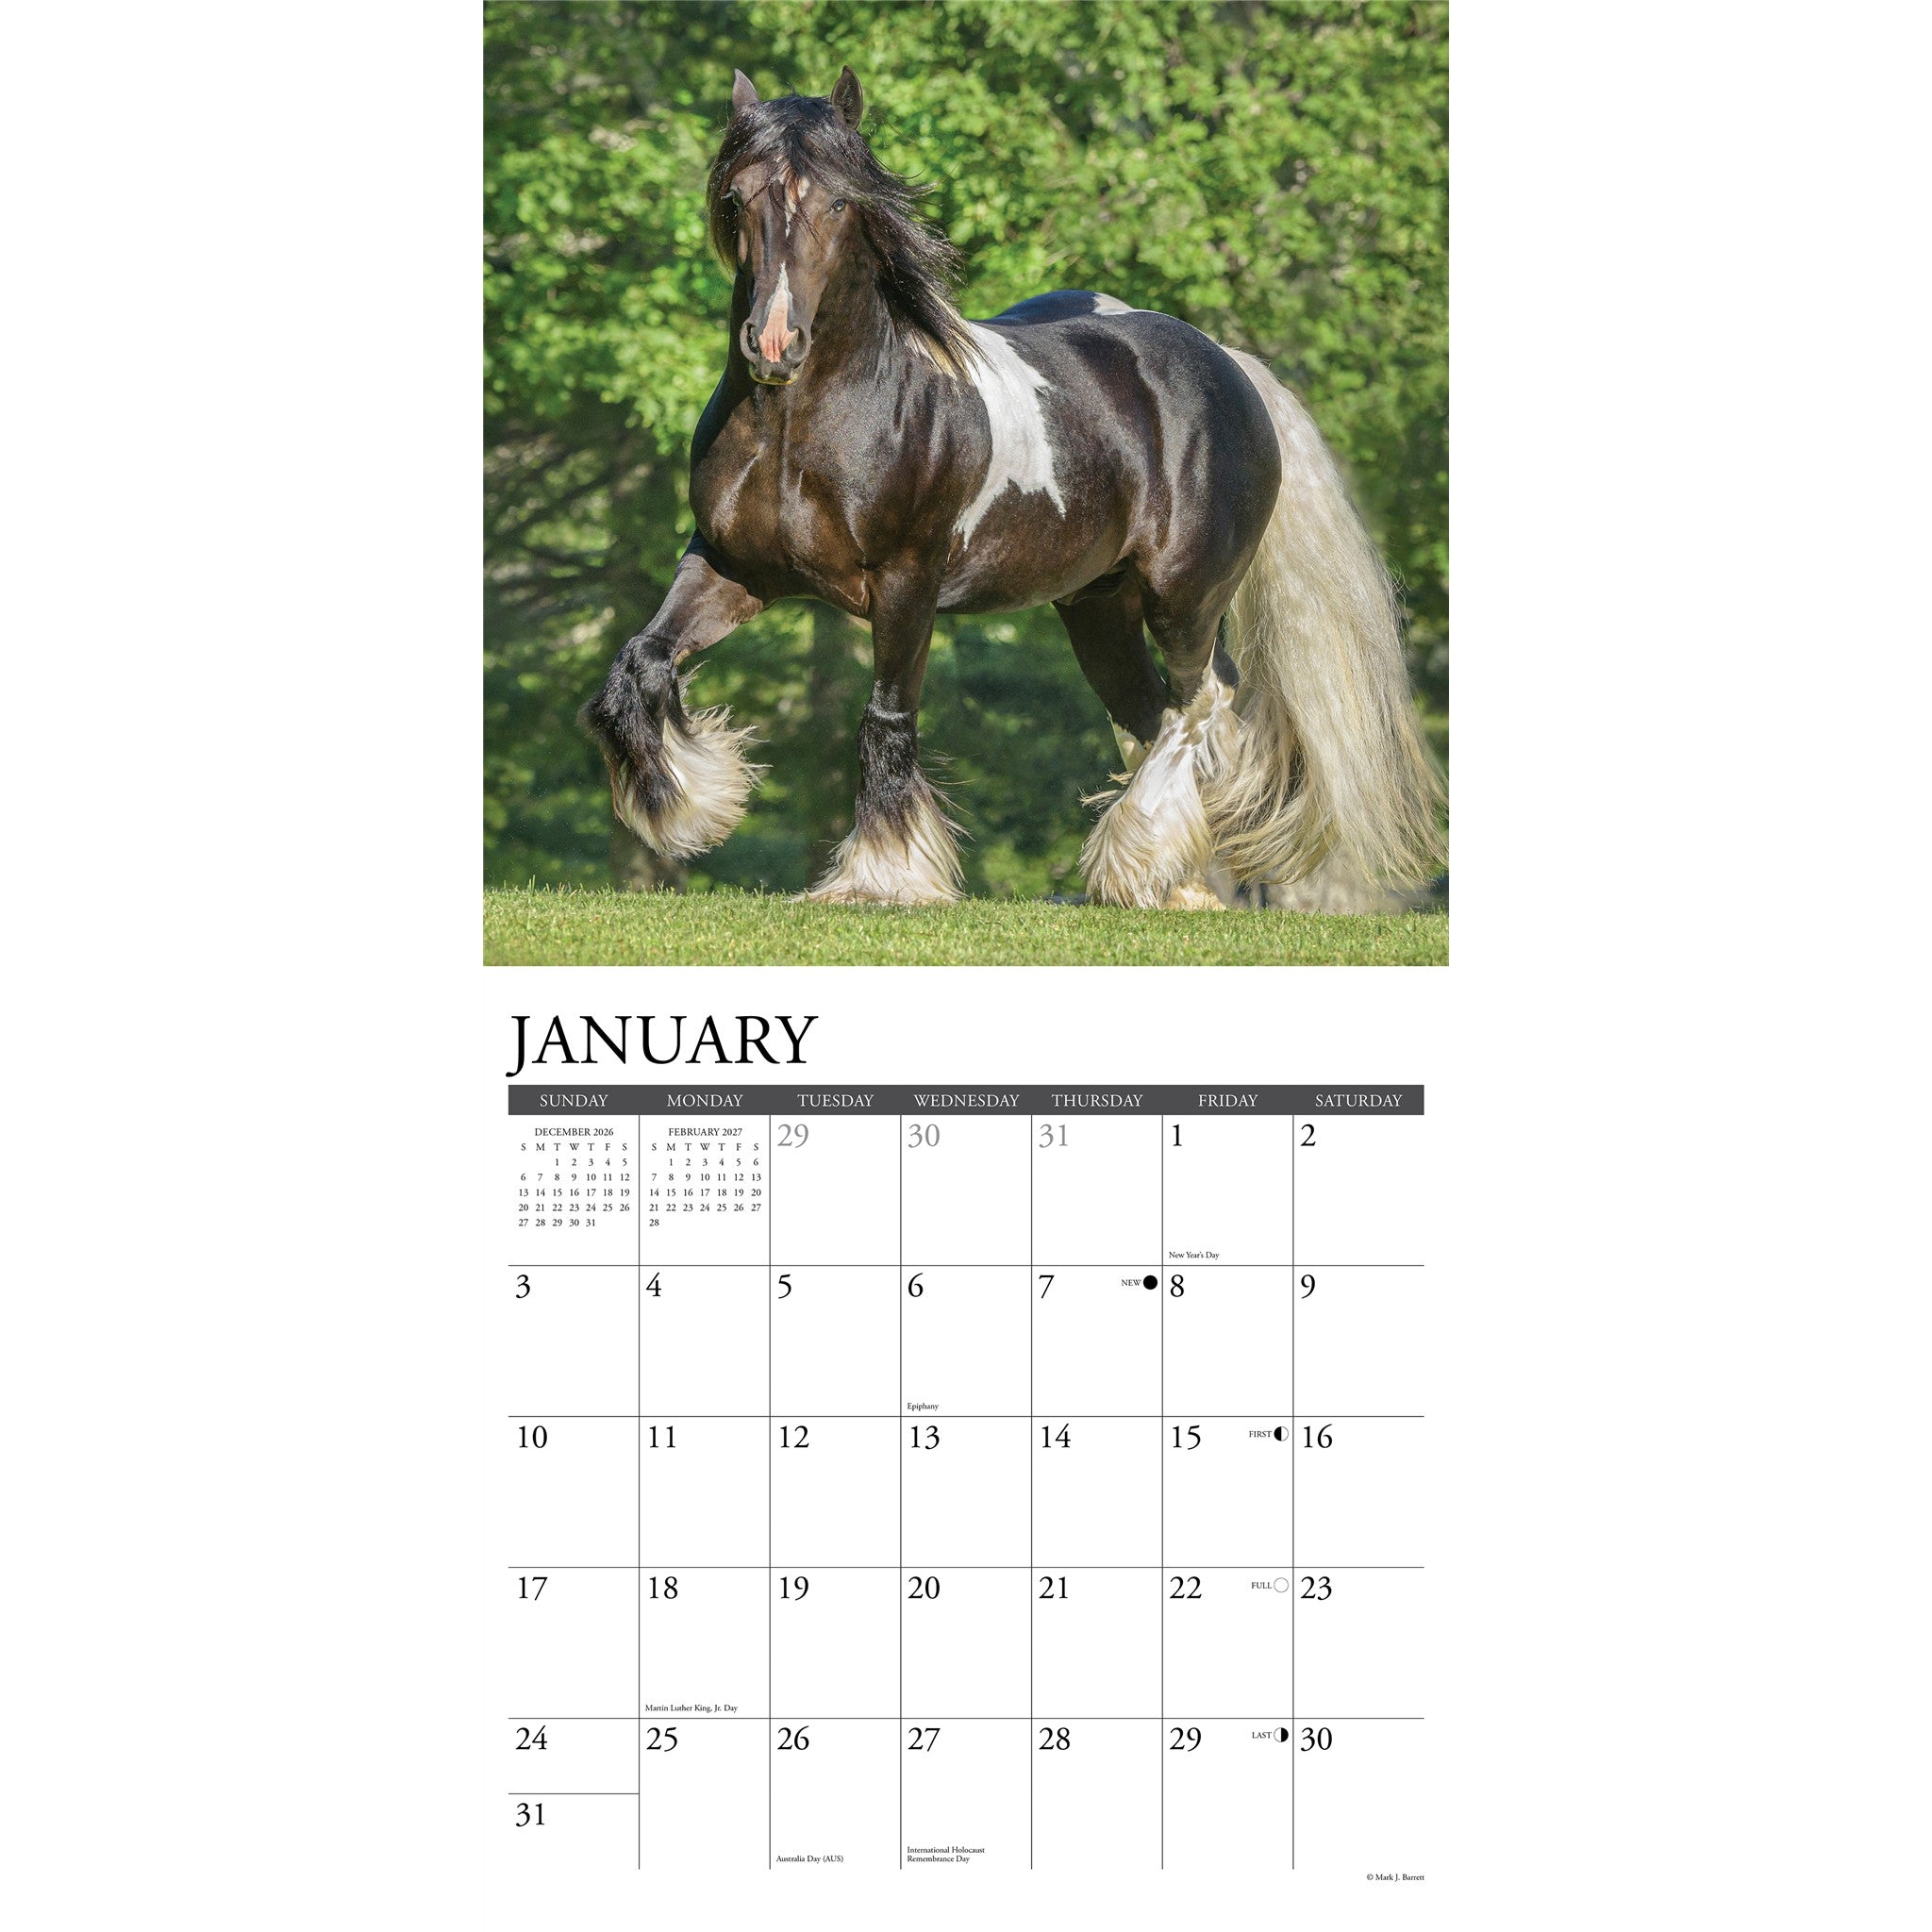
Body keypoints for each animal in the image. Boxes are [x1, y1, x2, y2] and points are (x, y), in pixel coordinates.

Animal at [585, 66, 1442, 909]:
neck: (802, 429)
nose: (774, 344)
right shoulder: (732, 568)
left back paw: (1139, 863)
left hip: (1186, 597)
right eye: (737, 199)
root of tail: (1228, 362)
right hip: (1098, 608)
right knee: (1153, 713)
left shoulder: (907, 584)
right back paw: (1173, 883)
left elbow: (885, 719)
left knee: (1202, 704)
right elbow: (638, 664)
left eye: (837, 201)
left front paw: (882, 879)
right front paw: (692, 807)